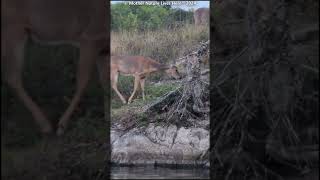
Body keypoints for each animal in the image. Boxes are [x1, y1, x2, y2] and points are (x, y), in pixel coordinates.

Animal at [1, 0, 109, 136]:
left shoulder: (103, 49)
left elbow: (105, 82)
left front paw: (108, 118)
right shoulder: (90, 37)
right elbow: (82, 82)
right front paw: (62, 125)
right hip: (12, 28)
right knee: (12, 77)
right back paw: (45, 125)